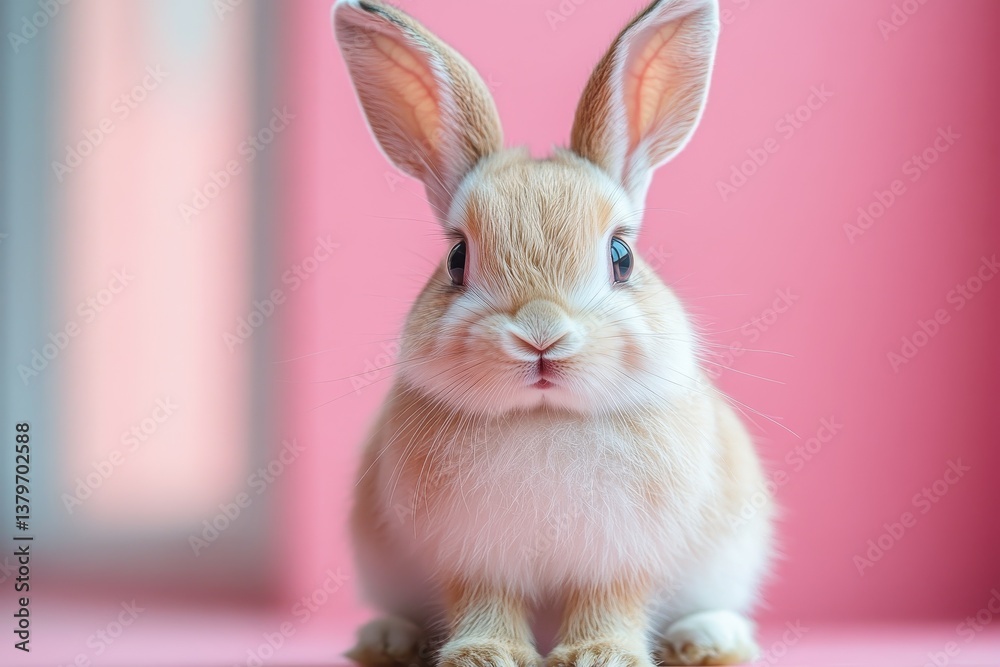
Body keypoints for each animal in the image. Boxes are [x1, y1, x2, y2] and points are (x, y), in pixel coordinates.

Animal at [332, 0, 774, 665]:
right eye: (457, 259)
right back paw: (386, 640)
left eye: (622, 256)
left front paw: (601, 655)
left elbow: (609, 604)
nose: (541, 335)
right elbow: (484, 602)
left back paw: (706, 639)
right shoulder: (474, 558)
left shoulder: (620, 559)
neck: (544, 417)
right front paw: (483, 654)